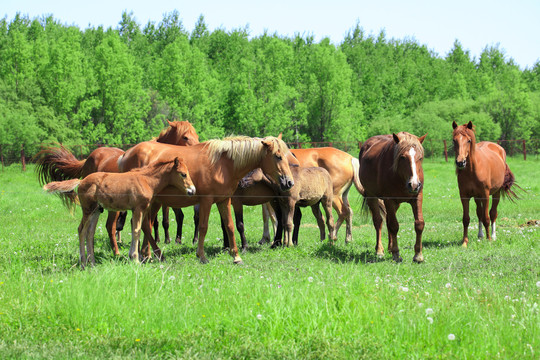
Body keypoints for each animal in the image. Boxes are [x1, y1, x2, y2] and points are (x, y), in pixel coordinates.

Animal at [43, 156, 196, 268]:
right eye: (183, 174)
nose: (192, 190)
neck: (146, 180)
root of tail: (81, 181)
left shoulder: (142, 209)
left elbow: (139, 229)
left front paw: (133, 256)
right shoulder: (138, 209)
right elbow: (137, 231)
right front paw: (135, 259)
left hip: (96, 210)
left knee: (90, 233)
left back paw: (92, 262)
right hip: (87, 209)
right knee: (81, 230)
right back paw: (83, 263)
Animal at [118, 135, 296, 264]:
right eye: (278, 156)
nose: (289, 182)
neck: (223, 165)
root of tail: (125, 154)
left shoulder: (224, 200)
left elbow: (230, 226)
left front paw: (236, 256)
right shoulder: (206, 201)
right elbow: (203, 227)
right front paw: (202, 256)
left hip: (153, 202)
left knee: (145, 226)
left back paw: (147, 254)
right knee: (145, 226)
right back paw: (152, 254)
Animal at [358, 131, 426, 262]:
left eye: (420, 158)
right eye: (402, 157)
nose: (414, 184)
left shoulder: (417, 197)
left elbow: (419, 223)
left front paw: (418, 255)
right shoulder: (389, 200)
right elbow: (394, 226)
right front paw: (396, 254)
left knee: (388, 221)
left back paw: (389, 248)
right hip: (372, 197)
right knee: (378, 222)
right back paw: (379, 250)